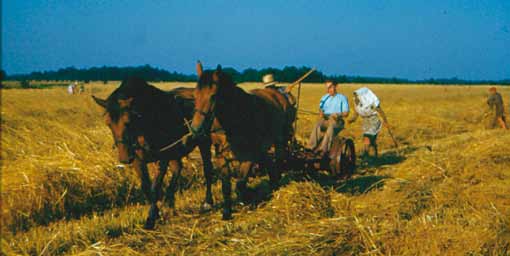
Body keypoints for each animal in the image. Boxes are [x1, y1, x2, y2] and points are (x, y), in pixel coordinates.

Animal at [92, 77, 214, 229]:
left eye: (128, 121)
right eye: (108, 123)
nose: (125, 158)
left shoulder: (164, 156)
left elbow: (155, 187)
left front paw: (150, 219)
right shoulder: (138, 159)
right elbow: (146, 187)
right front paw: (156, 213)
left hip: (204, 141)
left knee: (207, 169)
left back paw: (207, 202)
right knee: (177, 169)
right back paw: (169, 202)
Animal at [190, 63, 294, 219]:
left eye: (213, 96)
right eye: (195, 95)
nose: (196, 129)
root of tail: (277, 94)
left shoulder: (250, 155)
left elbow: (240, 184)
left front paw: (248, 198)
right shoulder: (221, 155)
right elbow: (226, 185)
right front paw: (227, 211)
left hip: (279, 140)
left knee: (279, 159)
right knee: (269, 161)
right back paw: (272, 183)